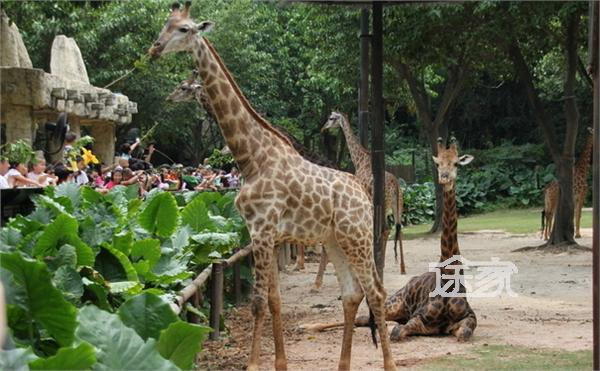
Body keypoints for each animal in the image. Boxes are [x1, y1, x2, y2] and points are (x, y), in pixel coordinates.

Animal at [300, 139, 478, 342]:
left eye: (456, 163)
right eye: (438, 164)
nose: (444, 178)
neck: (449, 273)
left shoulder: (469, 317)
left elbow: (463, 333)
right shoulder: (419, 316)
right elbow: (398, 332)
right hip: (395, 302)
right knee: (367, 317)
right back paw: (307, 326)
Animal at [322, 110, 406, 276]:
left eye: (331, 118)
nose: (323, 128)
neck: (359, 161)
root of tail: (396, 185)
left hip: (385, 205)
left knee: (386, 229)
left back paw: (380, 266)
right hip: (397, 205)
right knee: (398, 228)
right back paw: (402, 268)